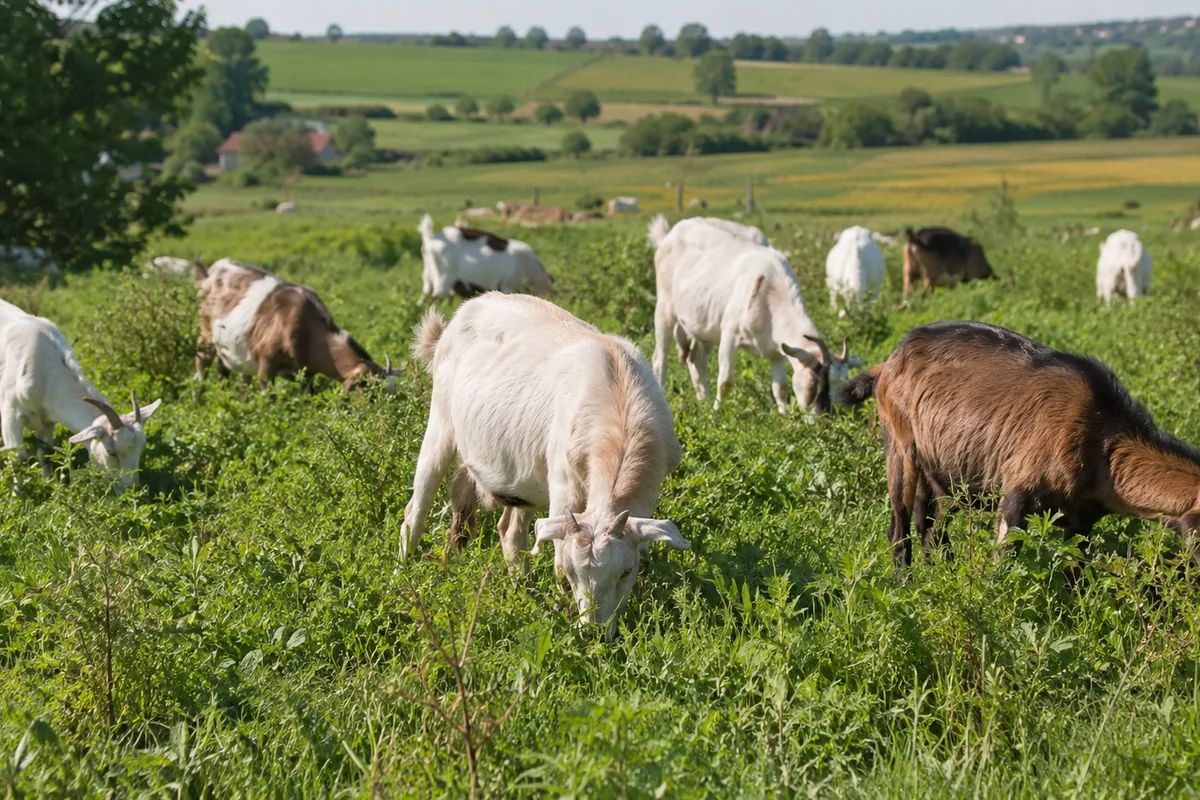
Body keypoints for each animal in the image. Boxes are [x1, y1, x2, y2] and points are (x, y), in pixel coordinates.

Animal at [0, 298, 161, 489]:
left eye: (141, 448)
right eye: (111, 452)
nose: (132, 488)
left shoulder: (47, 421)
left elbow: (45, 454)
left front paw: (48, 483)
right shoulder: (10, 415)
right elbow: (18, 459)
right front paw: (19, 494)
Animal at [194, 258, 398, 391]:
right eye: (371, 393)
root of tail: (208, 274)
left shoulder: (307, 376)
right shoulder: (266, 365)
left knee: (231, 380)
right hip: (205, 337)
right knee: (200, 370)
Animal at [403, 294, 688, 640]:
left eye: (626, 571)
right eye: (573, 572)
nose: (594, 633)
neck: (620, 400)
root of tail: (471, 307)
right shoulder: (564, 486)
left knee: (508, 530)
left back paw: (521, 589)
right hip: (441, 424)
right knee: (416, 508)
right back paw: (403, 572)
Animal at [649, 216, 855, 414]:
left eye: (841, 384)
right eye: (816, 381)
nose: (824, 416)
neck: (769, 292)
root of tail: (670, 234)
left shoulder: (777, 351)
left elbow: (781, 387)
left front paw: (785, 416)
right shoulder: (729, 336)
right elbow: (725, 382)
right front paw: (716, 413)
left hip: (704, 326)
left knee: (696, 360)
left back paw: (704, 400)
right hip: (664, 309)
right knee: (660, 359)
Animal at [837, 321, 1200, 569]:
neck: (1102, 438)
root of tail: (888, 363)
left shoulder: (1081, 521)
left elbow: (1076, 575)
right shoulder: (1018, 490)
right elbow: (1004, 563)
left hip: (944, 474)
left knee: (931, 529)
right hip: (901, 446)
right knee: (899, 528)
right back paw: (906, 588)